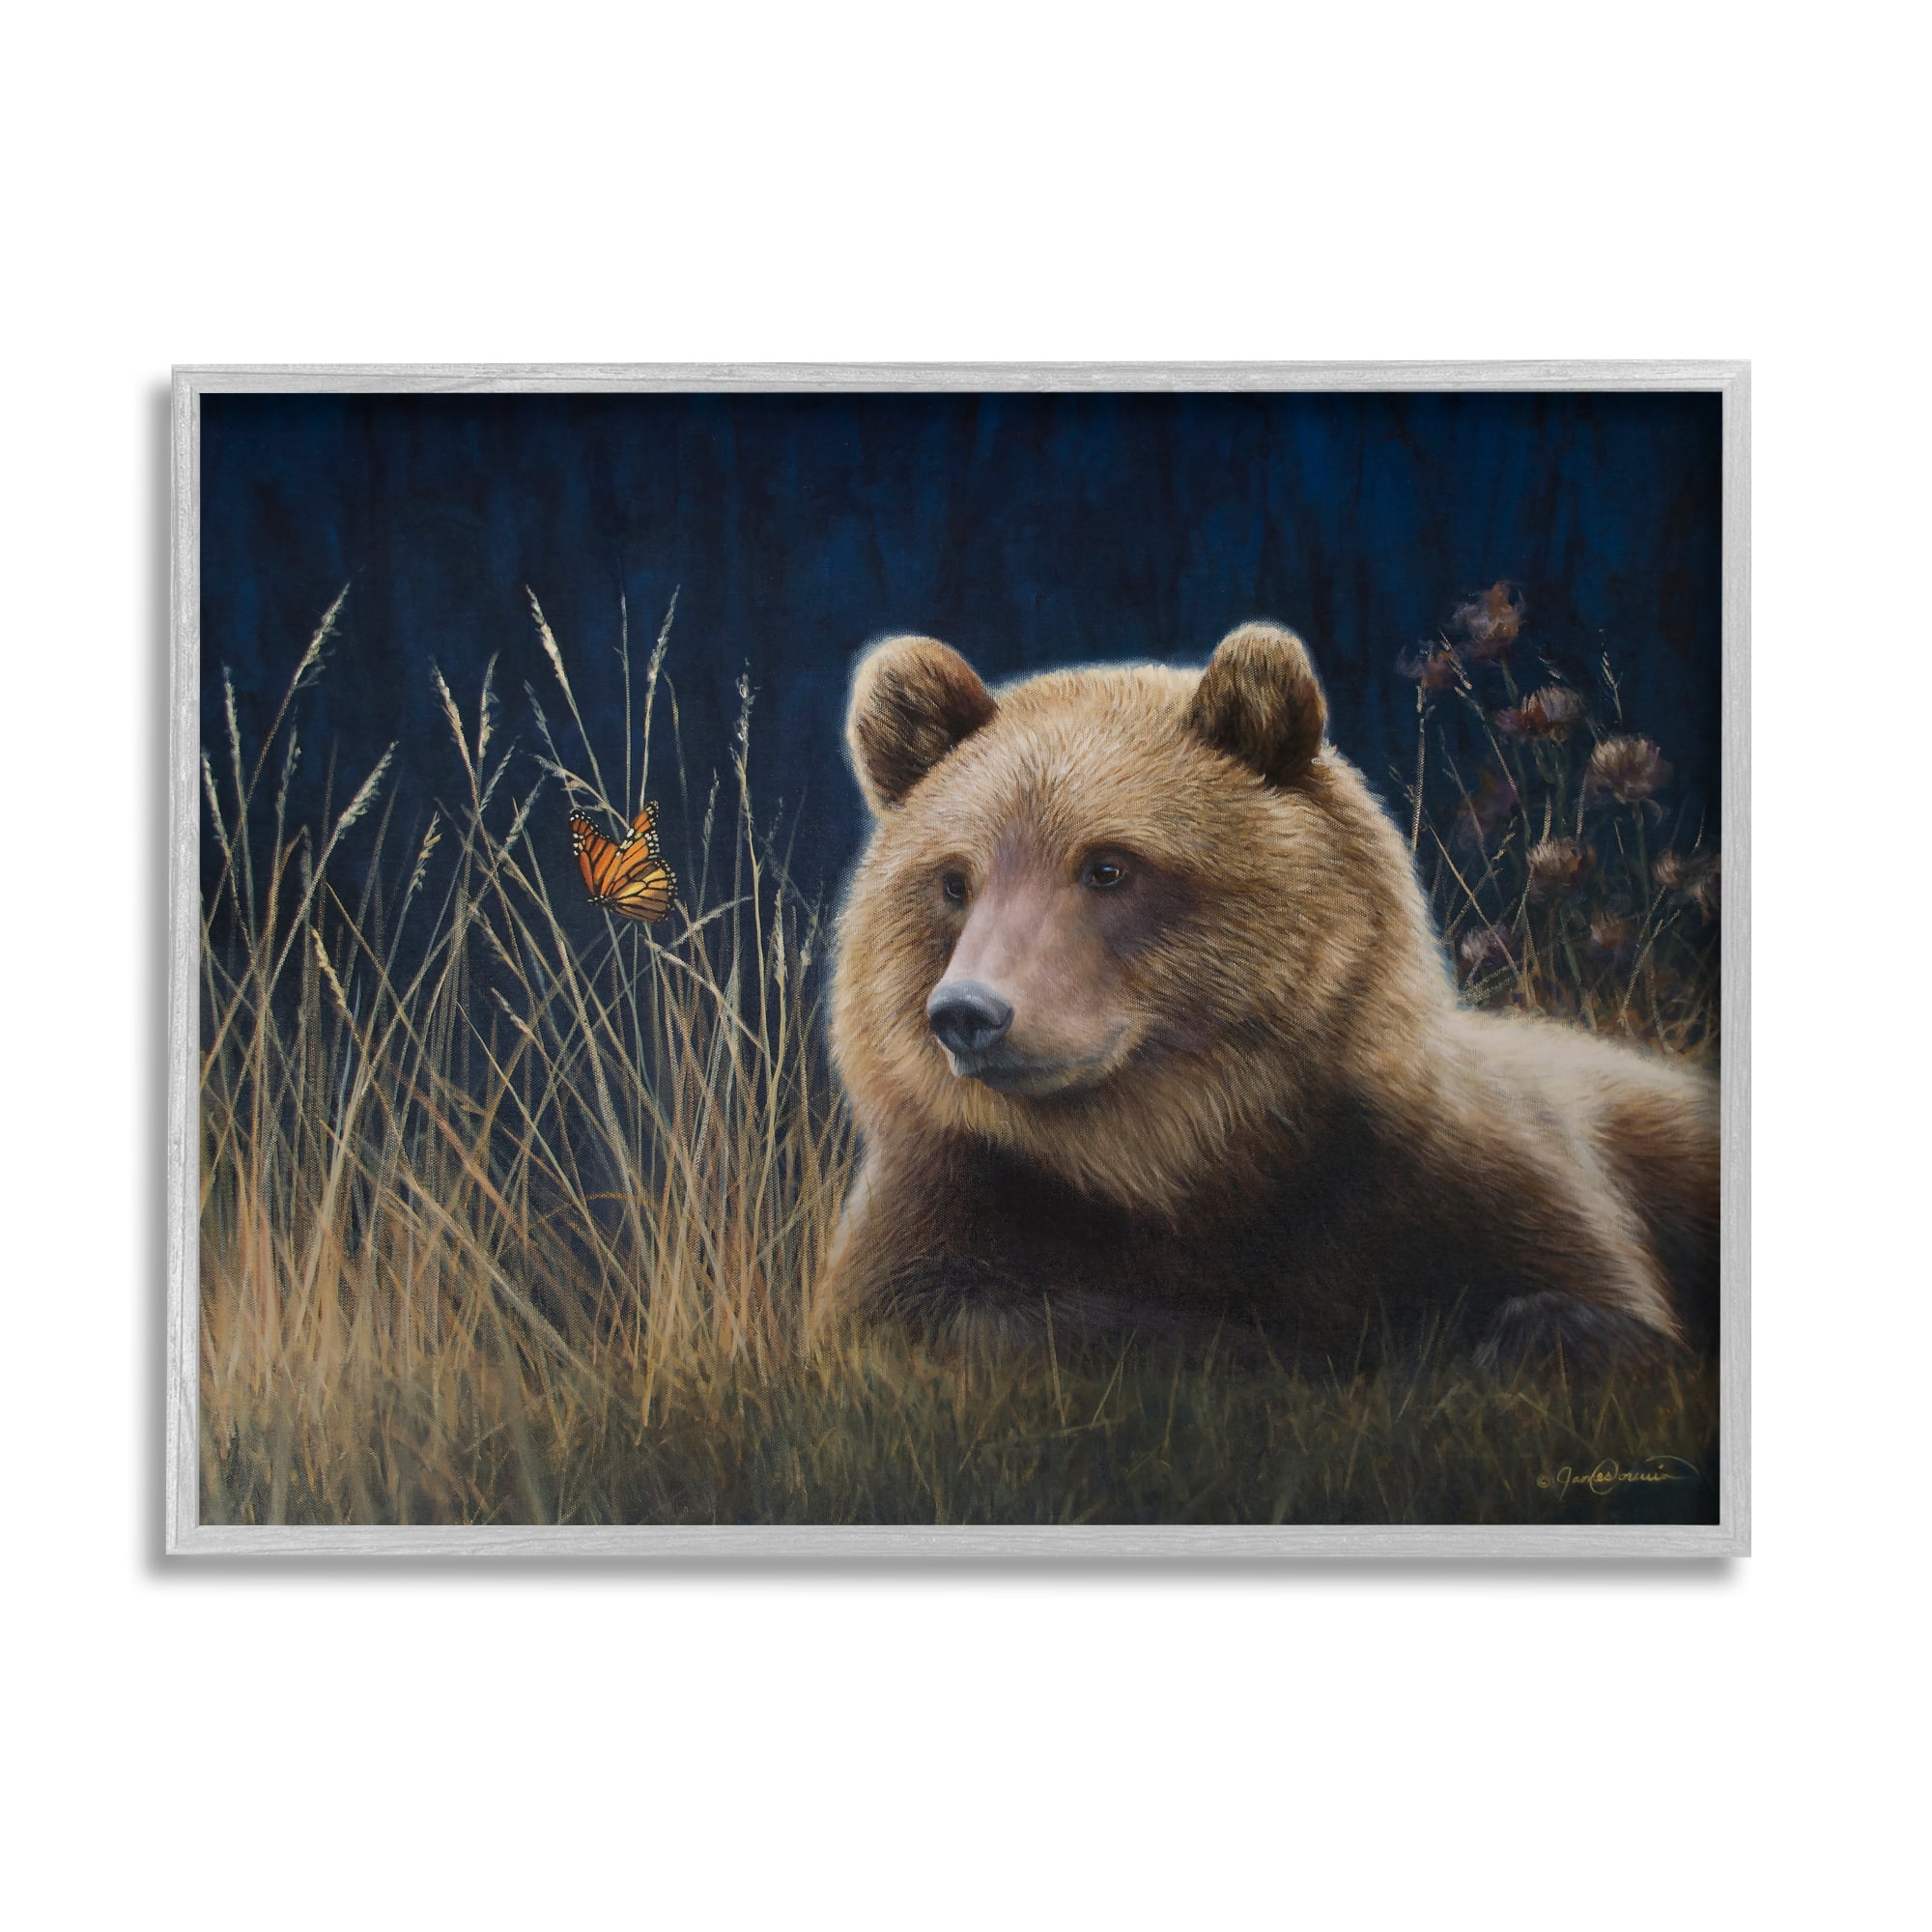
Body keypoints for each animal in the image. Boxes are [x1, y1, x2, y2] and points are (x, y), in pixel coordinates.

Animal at [822, 621, 1719, 1367]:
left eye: (1108, 865)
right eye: (953, 880)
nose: (969, 1013)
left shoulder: (1440, 1169)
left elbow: (1588, 1293)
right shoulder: (954, 1197)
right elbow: (944, 1314)